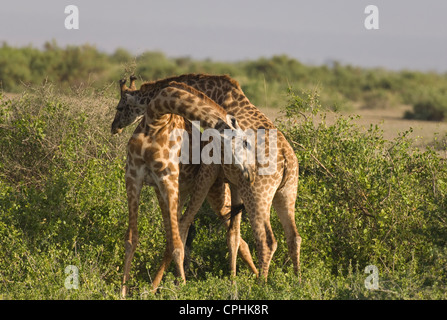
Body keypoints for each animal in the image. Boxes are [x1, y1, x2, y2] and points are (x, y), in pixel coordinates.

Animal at [111, 74, 300, 294]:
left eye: (120, 107)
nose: (115, 126)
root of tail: (287, 159)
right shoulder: (230, 184)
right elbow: (232, 237)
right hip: (285, 193)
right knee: (292, 237)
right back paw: (296, 282)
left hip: (254, 195)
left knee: (265, 241)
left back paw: (261, 286)